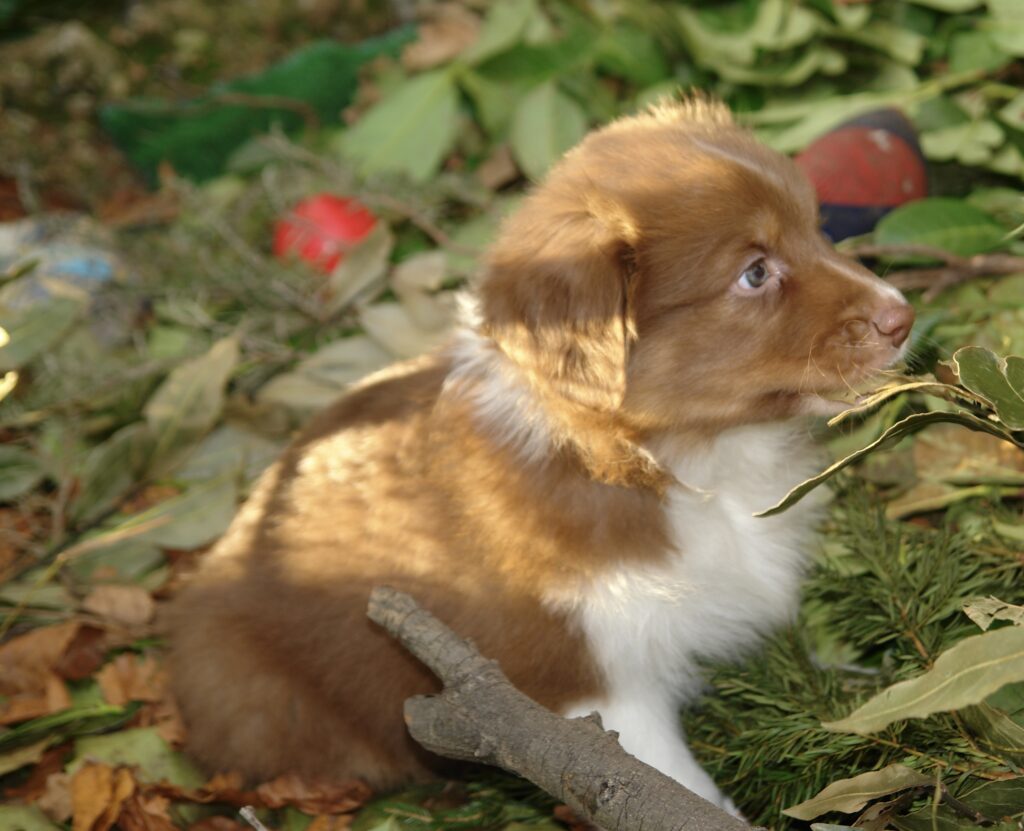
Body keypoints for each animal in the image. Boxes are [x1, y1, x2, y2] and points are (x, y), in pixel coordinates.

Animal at [167, 95, 913, 806]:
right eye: (755, 273)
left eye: (817, 227)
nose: (902, 315)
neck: (658, 464)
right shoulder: (589, 682)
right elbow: (671, 788)